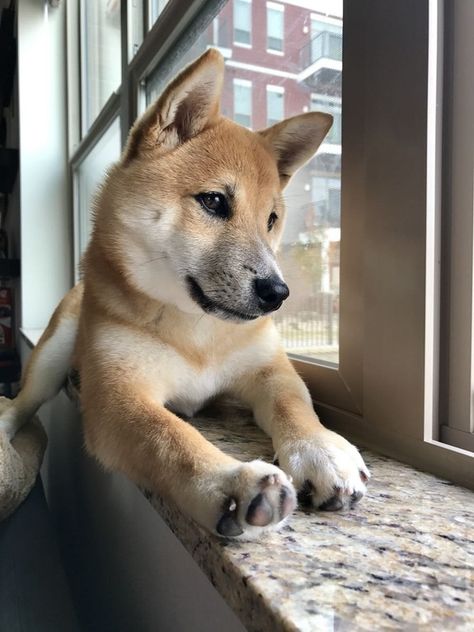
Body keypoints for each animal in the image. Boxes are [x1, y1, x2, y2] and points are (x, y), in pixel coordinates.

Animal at [0, 49, 368, 536]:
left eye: (271, 219)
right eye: (214, 201)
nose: (277, 292)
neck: (198, 330)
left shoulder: (270, 369)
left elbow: (295, 405)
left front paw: (322, 451)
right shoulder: (119, 395)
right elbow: (170, 439)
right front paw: (230, 483)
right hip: (55, 349)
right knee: (22, 402)